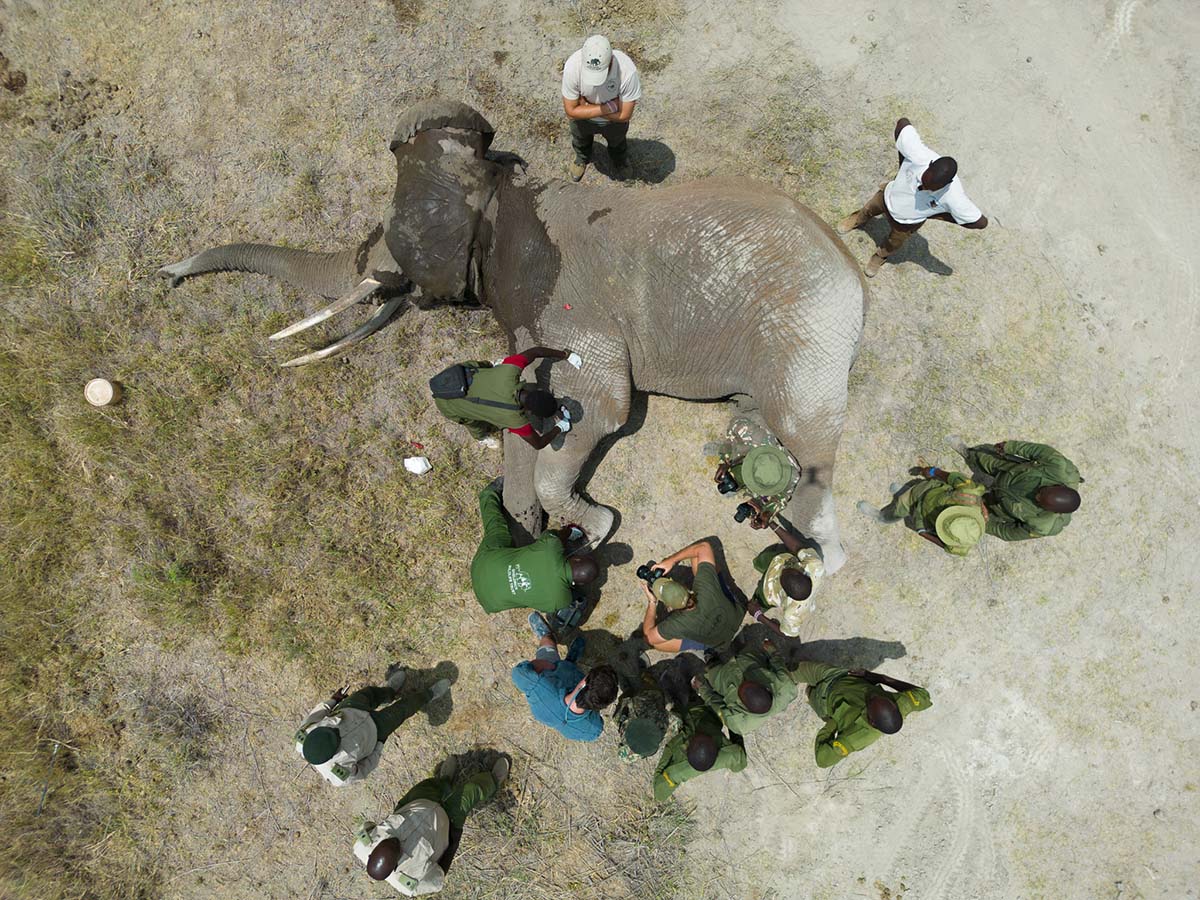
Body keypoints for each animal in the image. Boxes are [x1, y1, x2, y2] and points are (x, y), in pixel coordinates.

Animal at [158, 98, 867, 572]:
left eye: (400, 246)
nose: (164, 277)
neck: (503, 192)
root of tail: (853, 269)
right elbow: (526, 405)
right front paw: (527, 521)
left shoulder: (561, 293)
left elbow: (601, 405)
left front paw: (594, 528)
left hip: (807, 329)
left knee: (808, 442)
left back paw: (818, 559)